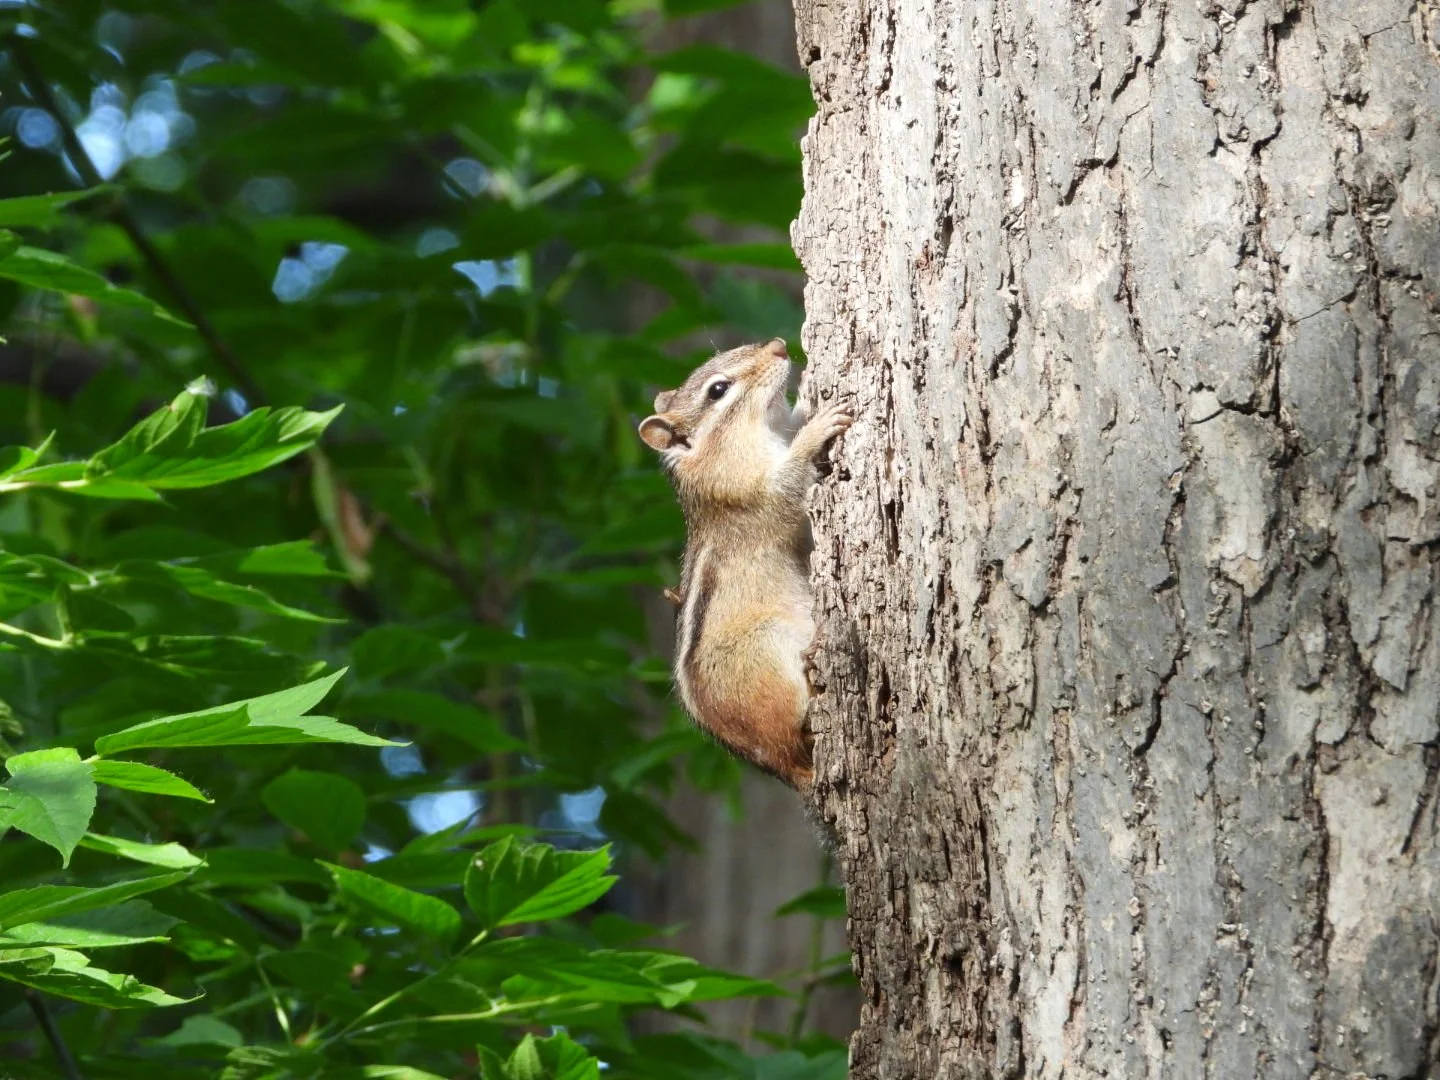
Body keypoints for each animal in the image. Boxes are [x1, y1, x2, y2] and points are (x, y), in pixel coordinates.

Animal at [638, 338, 853, 790]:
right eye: (717, 390)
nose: (778, 347)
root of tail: (781, 767)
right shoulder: (747, 490)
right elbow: (787, 486)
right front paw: (817, 428)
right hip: (767, 645)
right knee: (799, 725)